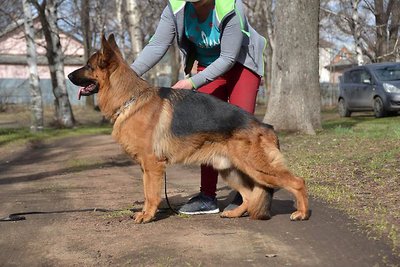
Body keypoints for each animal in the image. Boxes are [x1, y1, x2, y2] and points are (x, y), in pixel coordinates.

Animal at [68, 34, 310, 225]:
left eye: (88, 66)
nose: (68, 76)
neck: (130, 98)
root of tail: (266, 126)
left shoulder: (152, 165)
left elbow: (152, 194)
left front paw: (147, 216)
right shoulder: (145, 168)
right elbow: (146, 193)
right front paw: (145, 213)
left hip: (258, 168)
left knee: (297, 182)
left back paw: (302, 213)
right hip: (230, 170)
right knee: (250, 196)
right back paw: (234, 214)